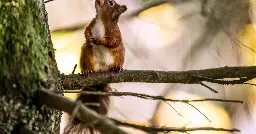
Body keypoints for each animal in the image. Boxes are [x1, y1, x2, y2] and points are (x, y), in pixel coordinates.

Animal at [63, 0, 127, 133]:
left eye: (111, 2)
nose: (98, 0)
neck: (101, 20)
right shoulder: (90, 24)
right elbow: (86, 30)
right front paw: (88, 36)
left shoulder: (114, 32)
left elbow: (112, 41)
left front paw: (100, 41)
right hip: (87, 54)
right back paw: (87, 71)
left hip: (119, 55)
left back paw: (116, 67)